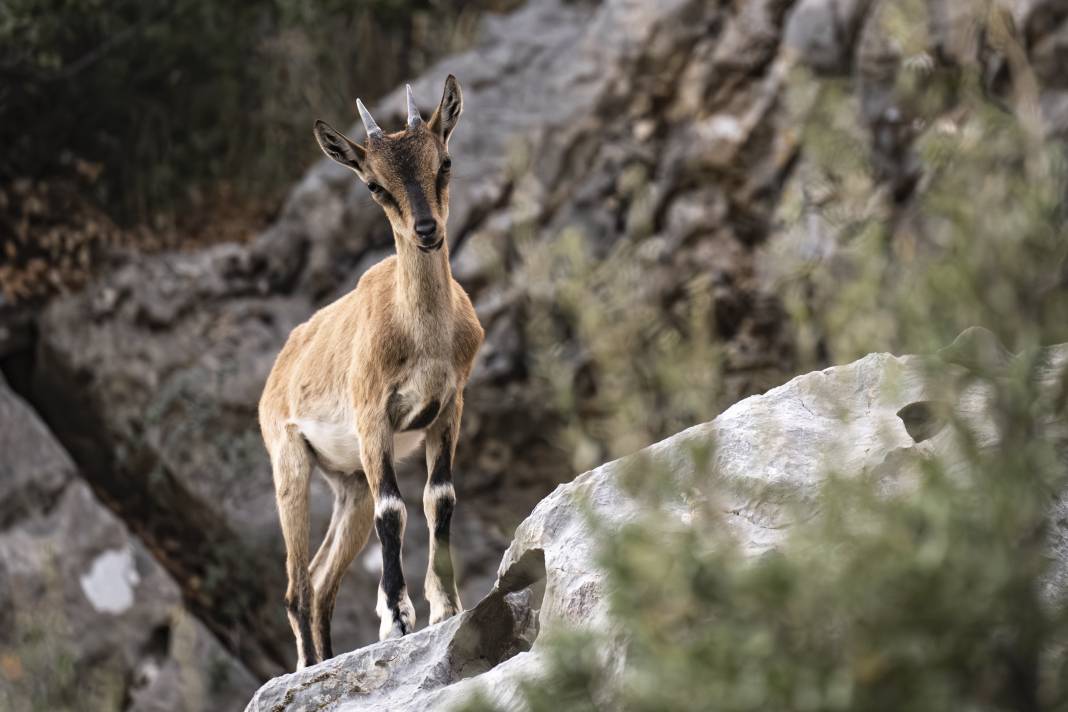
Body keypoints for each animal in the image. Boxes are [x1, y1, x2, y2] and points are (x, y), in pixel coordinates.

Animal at [260, 75, 487, 670]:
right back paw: (310, 666)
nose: (427, 230)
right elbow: (395, 510)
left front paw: (446, 606)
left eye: (444, 162)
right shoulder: (371, 416)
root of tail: (280, 368)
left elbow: (439, 497)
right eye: (373, 186)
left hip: (348, 485)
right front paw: (397, 621)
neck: (421, 333)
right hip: (290, 463)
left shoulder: (448, 407)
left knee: (321, 579)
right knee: (296, 585)